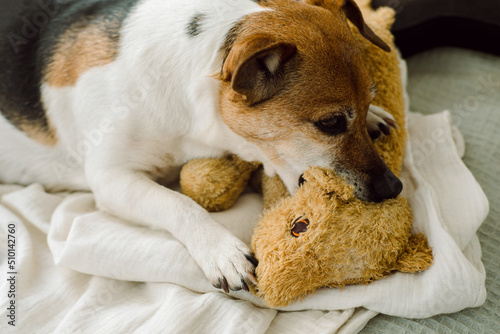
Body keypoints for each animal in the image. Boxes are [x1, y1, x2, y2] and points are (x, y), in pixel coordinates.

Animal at [0, 0, 402, 292]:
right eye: (330, 123)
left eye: (369, 98)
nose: (394, 187)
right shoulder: (111, 178)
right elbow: (178, 203)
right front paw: (220, 249)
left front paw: (375, 117)